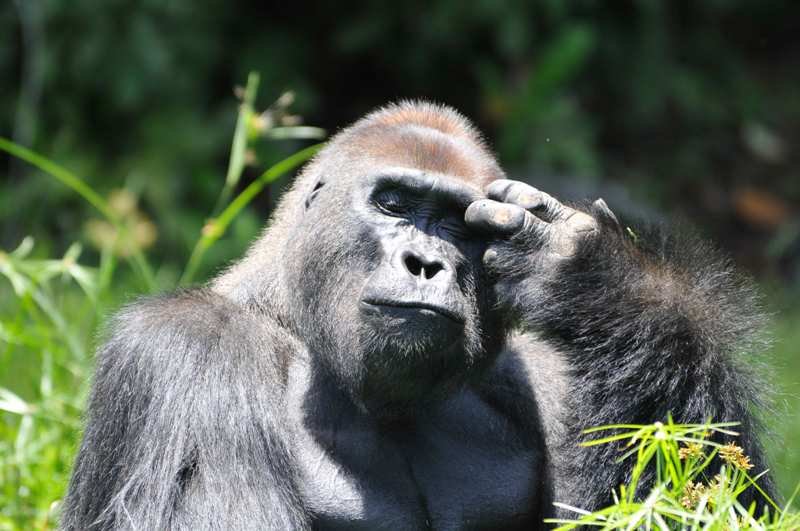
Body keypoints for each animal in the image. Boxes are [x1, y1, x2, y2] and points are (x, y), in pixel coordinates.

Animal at [62, 102, 776, 528]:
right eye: (395, 203)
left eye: (457, 224)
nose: (425, 263)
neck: (292, 320)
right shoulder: (188, 353)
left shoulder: (549, 375)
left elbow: (705, 497)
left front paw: (596, 277)